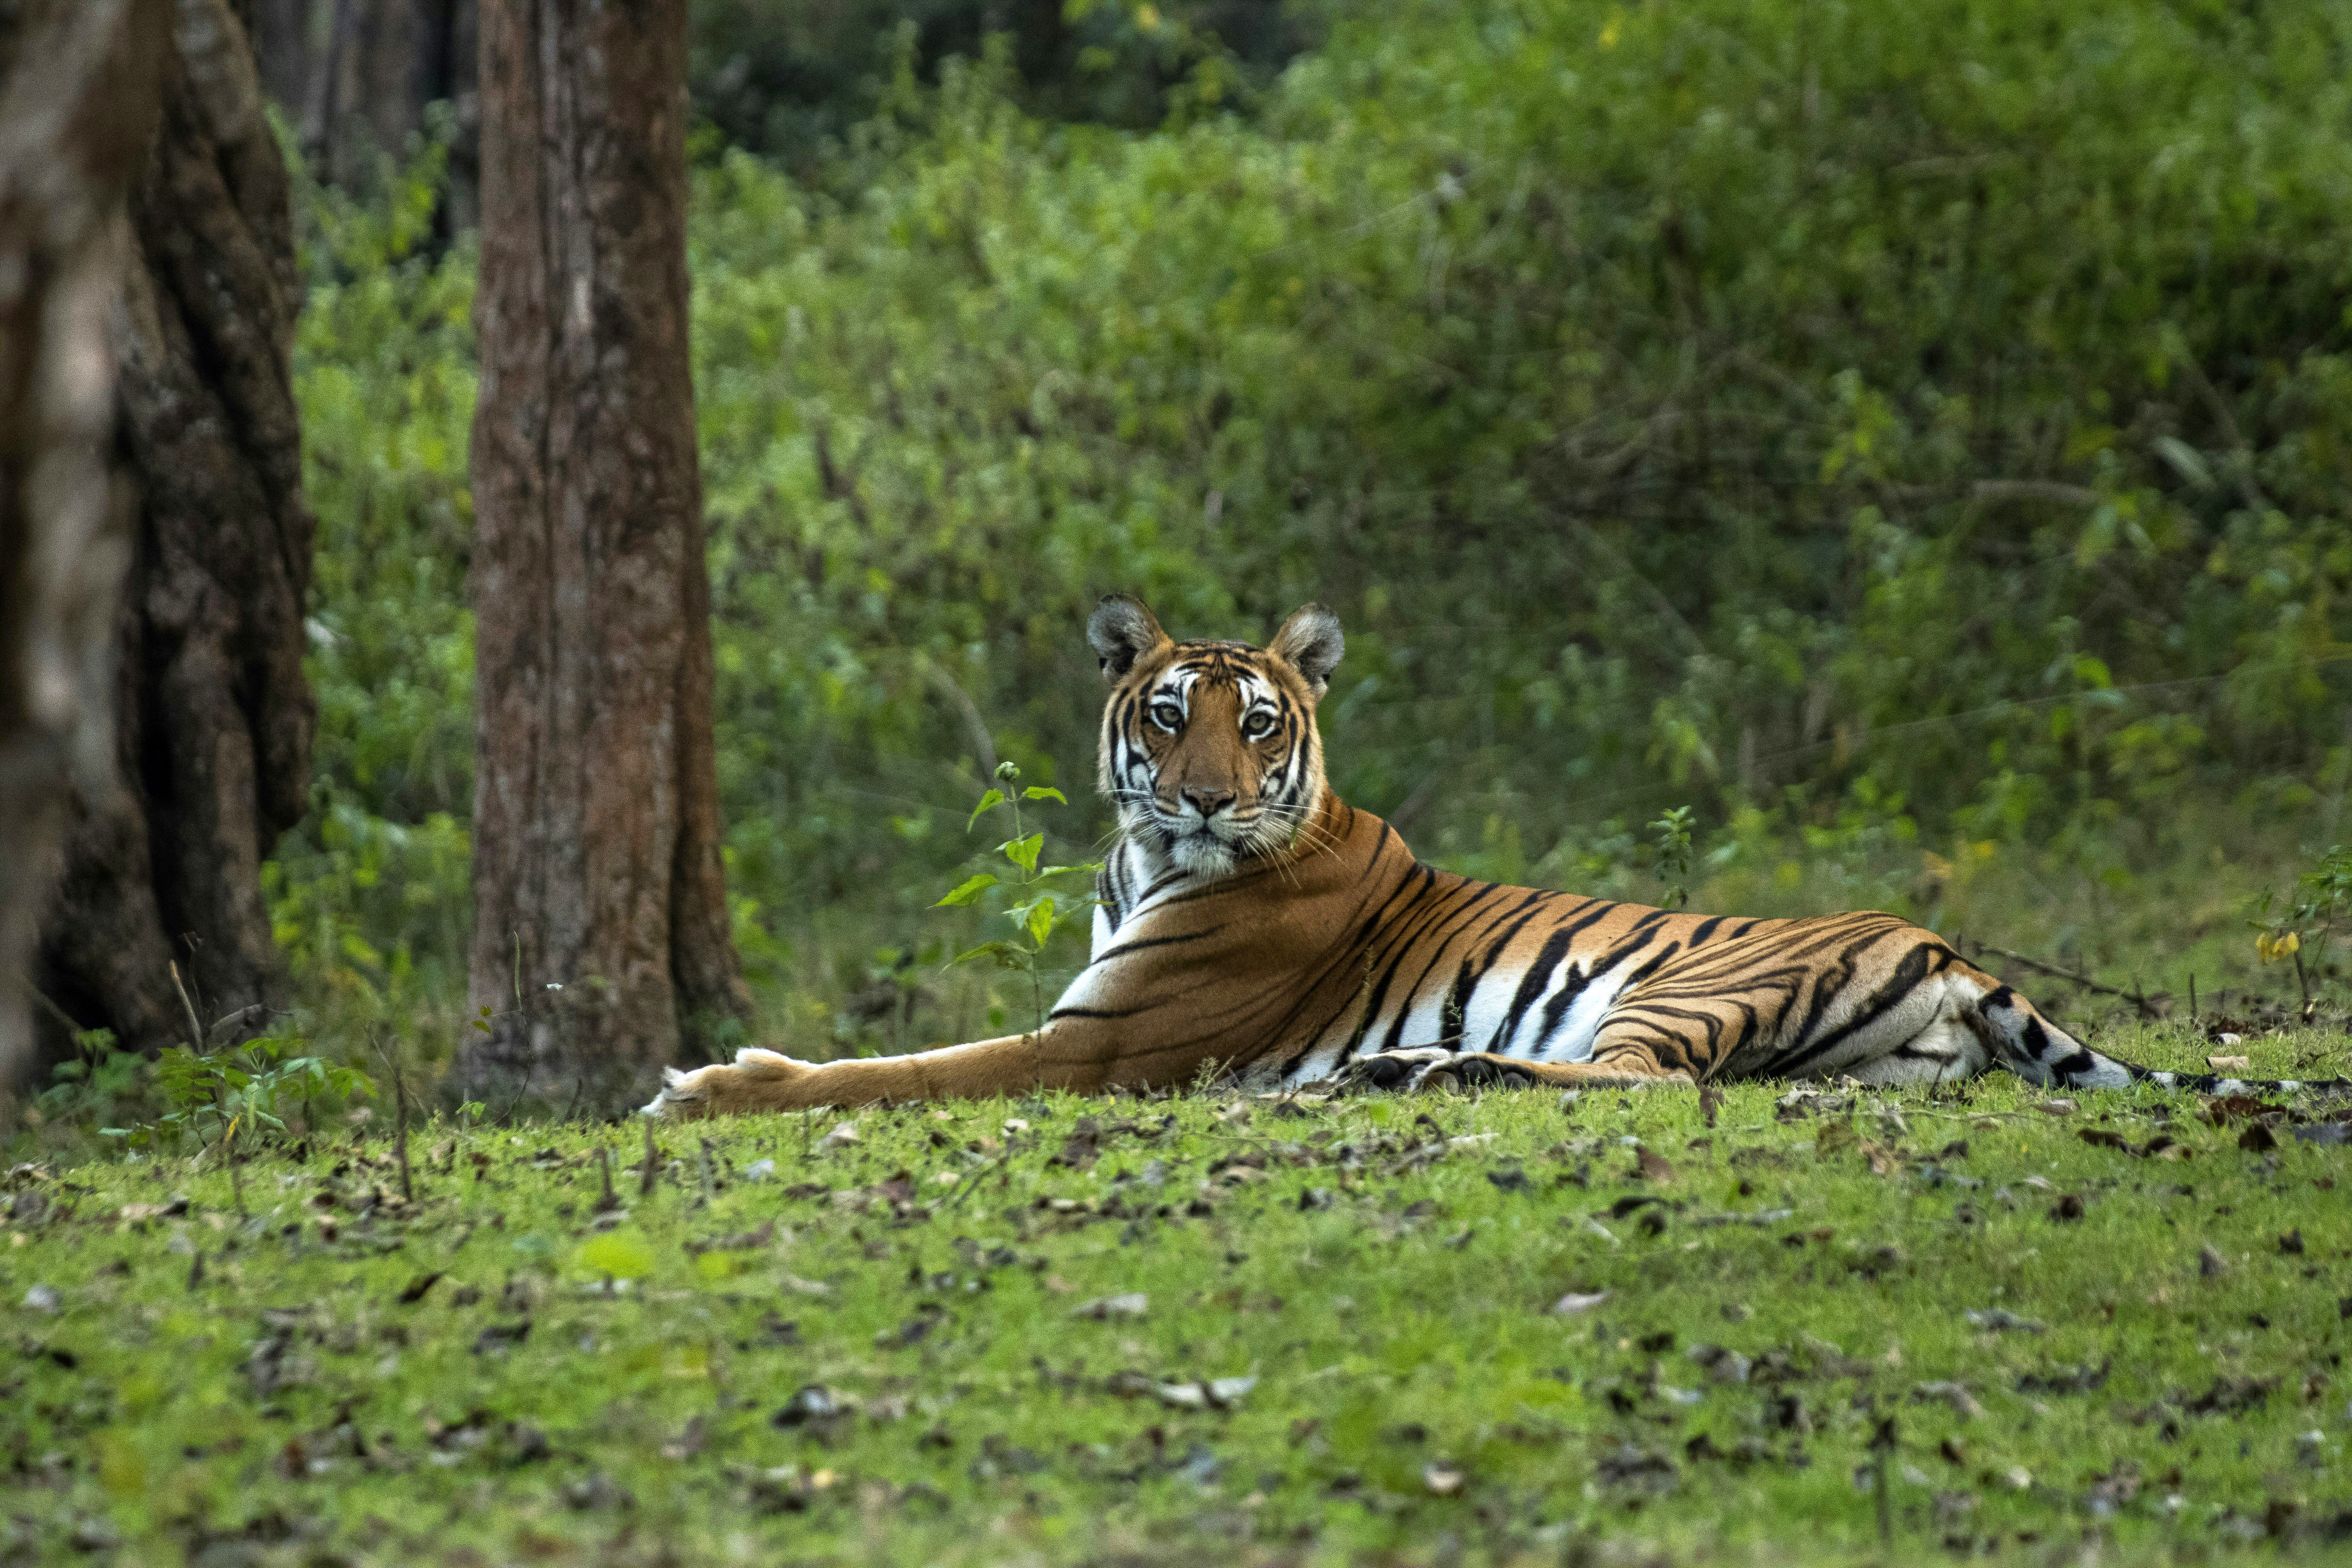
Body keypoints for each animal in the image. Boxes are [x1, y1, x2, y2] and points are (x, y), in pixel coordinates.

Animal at [646, 595, 2334, 1119]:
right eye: (1172, 715)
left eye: (1259, 724)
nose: (1205, 801)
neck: (1149, 863)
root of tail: (1946, 947)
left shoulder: (1092, 1049)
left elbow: (896, 1069)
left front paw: (708, 1085)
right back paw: (1394, 1073)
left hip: (1670, 988)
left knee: (1638, 1086)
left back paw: (1413, 1072)